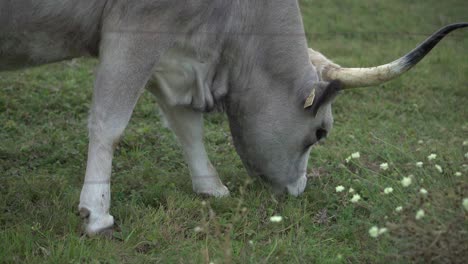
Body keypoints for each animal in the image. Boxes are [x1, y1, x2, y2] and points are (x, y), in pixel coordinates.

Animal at [0, 0, 468, 235]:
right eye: (320, 133)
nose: (299, 190)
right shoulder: (138, 27)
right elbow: (109, 124)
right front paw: (96, 213)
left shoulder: (175, 55)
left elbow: (186, 126)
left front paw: (212, 187)